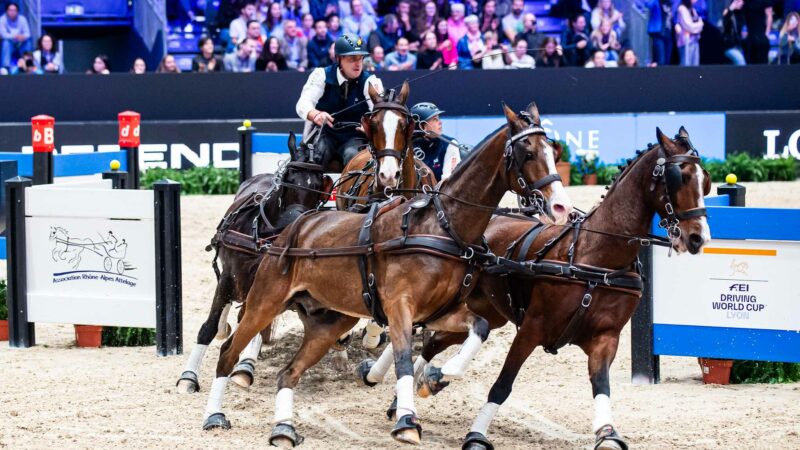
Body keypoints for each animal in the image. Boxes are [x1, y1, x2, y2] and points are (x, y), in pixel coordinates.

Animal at [177, 134, 332, 394]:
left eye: (319, 185)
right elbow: (209, 327)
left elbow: (254, 324)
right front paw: (188, 377)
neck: (263, 237)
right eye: (290, 179)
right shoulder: (229, 278)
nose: (298, 219)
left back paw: (244, 365)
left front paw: (243, 369)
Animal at [198, 103, 576, 446]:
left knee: (288, 372)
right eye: (528, 152)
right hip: (264, 301)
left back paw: (283, 429)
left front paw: (442, 374)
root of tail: (294, 226)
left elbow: (478, 329)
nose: (560, 206)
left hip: (328, 322)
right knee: (229, 349)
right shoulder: (399, 307)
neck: (441, 225)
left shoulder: (440, 312)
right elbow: (404, 359)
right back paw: (214, 414)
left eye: (552, 150)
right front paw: (407, 419)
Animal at [450, 125, 712, 450]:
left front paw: (607, 433)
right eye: (681, 177)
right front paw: (476, 434)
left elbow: (601, 385)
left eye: (706, 180)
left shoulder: (606, 337)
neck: (597, 258)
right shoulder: (531, 328)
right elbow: (503, 384)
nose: (699, 238)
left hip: (487, 310)